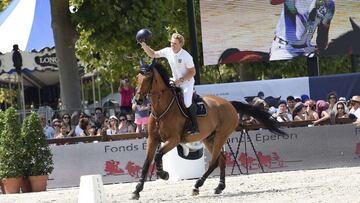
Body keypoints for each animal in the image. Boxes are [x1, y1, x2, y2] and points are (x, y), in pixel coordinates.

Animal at [131, 59, 286, 200]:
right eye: (138, 78)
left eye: (148, 77)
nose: (137, 100)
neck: (161, 110)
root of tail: (229, 104)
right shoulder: (153, 139)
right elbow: (146, 163)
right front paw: (137, 190)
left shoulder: (174, 139)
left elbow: (158, 155)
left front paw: (164, 174)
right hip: (208, 138)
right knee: (221, 159)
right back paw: (219, 187)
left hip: (220, 136)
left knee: (215, 161)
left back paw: (197, 185)